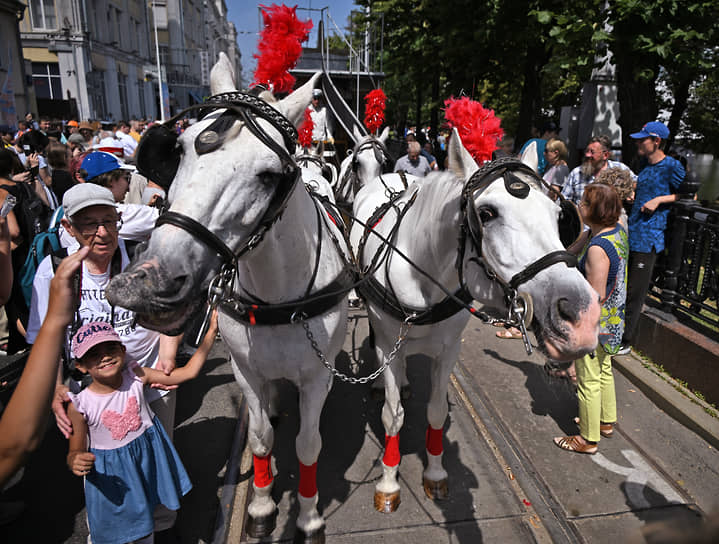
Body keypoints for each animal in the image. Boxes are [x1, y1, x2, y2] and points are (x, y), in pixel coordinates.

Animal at [107, 53, 352, 540]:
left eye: (268, 174)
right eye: (178, 151)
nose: (149, 281)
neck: (279, 298)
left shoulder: (317, 377)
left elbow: (308, 444)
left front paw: (309, 516)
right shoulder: (245, 370)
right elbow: (259, 437)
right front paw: (260, 506)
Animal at [348, 132, 600, 516]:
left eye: (558, 215)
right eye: (486, 213)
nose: (582, 316)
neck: (424, 278)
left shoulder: (448, 350)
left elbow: (436, 411)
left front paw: (435, 474)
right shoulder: (391, 339)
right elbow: (393, 415)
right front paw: (389, 483)